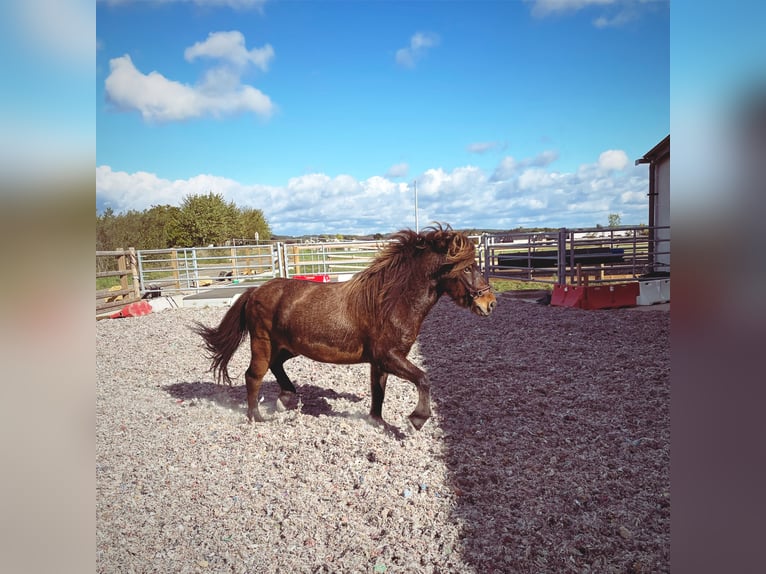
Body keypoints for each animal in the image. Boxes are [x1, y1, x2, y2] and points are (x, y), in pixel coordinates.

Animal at [194, 225, 498, 432]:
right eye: (467, 268)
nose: (490, 303)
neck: (389, 302)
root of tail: (254, 290)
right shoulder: (389, 356)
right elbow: (423, 379)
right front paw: (416, 420)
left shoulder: (380, 361)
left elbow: (378, 391)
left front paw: (378, 422)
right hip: (262, 342)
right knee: (253, 375)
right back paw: (257, 416)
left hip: (289, 346)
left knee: (275, 366)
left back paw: (286, 398)